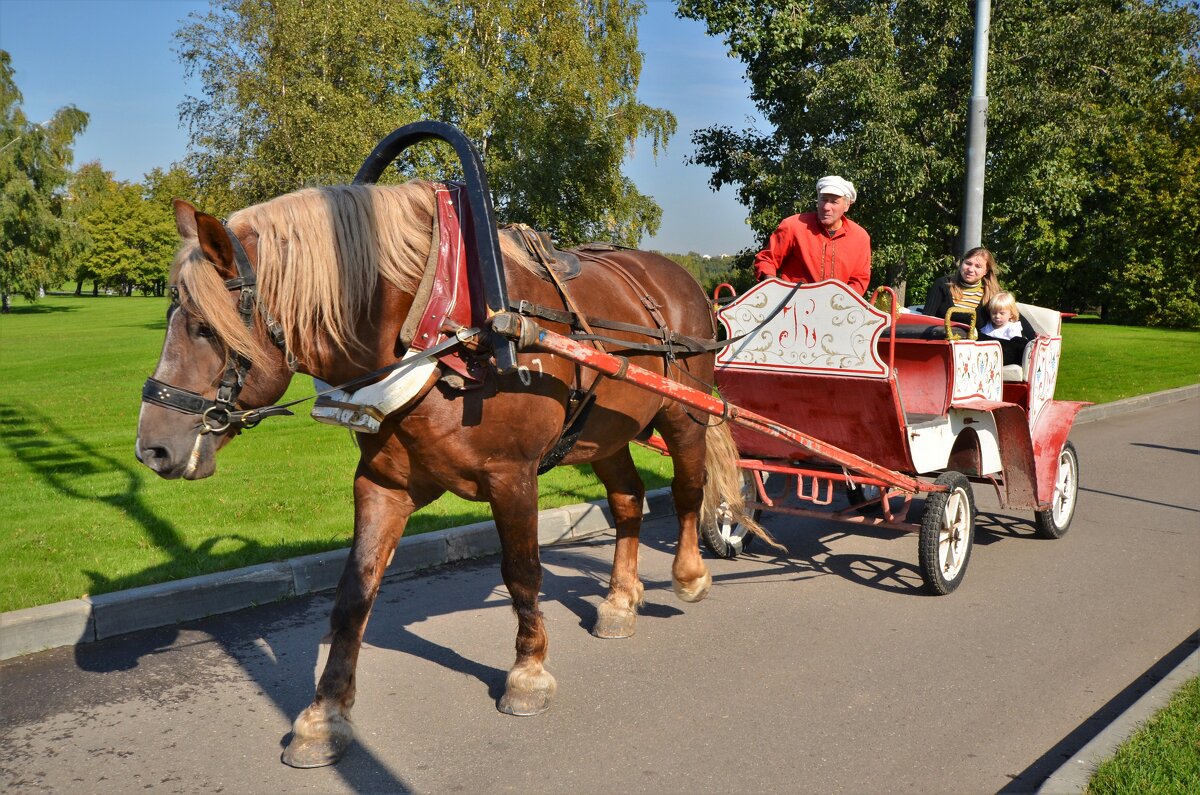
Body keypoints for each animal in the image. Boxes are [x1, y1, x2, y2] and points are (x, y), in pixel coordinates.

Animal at [136, 178, 753, 768]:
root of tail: (678, 276)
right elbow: (354, 593)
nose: (151, 449)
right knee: (628, 500)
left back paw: (690, 573)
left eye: (204, 328)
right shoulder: (382, 485)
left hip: (683, 412)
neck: (444, 334)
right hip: (604, 431)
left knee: (688, 489)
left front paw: (527, 673)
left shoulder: (513, 476)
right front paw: (325, 715)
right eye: (172, 318)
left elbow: (522, 572)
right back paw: (621, 601)